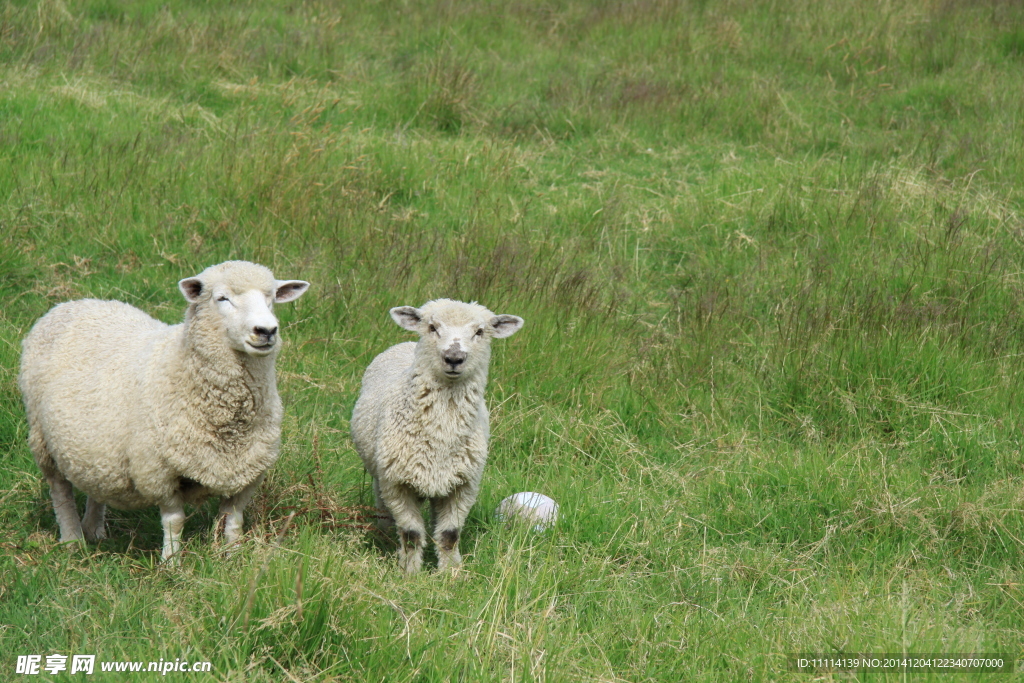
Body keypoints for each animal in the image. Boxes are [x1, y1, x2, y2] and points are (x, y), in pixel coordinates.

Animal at [18, 259, 307, 565]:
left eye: (271, 298)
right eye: (222, 298)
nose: (266, 331)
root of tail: (73, 303)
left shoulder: (248, 471)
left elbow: (233, 520)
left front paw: (234, 557)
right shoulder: (158, 470)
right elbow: (174, 521)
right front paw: (171, 564)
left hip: (96, 448)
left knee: (95, 484)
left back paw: (94, 529)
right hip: (42, 437)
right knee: (60, 491)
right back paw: (72, 540)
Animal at [354, 299, 528, 573]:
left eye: (480, 332)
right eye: (432, 327)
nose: (454, 358)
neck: (440, 437)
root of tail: (406, 343)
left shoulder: (464, 485)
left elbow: (449, 534)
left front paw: (450, 574)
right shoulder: (396, 483)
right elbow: (411, 534)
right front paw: (409, 573)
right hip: (380, 472)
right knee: (381, 502)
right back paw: (385, 532)